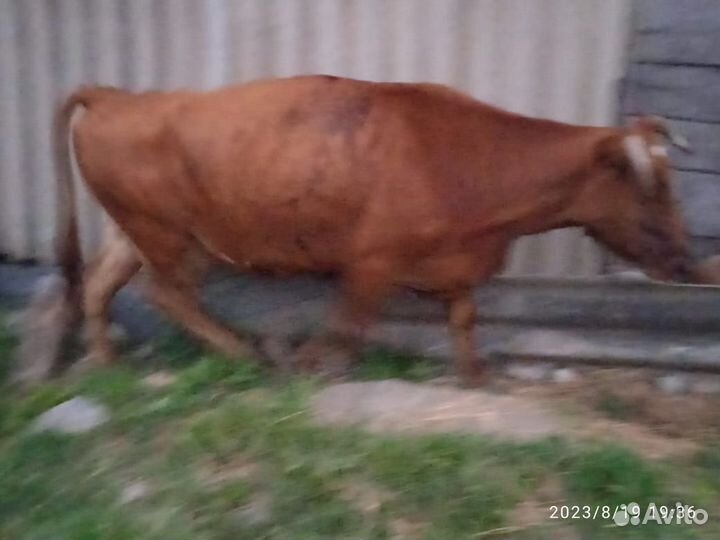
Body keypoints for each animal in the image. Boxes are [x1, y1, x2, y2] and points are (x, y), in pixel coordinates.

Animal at [47, 75, 699, 387]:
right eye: (654, 191)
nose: (687, 262)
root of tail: (117, 97)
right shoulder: (370, 261)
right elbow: (348, 326)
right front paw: (309, 365)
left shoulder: (454, 263)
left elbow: (464, 317)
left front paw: (474, 376)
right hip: (167, 235)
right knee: (166, 293)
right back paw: (244, 353)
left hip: (131, 232)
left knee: (100, 286)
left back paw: (106, 361)